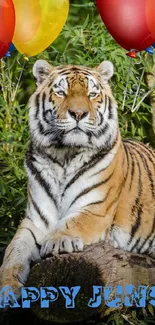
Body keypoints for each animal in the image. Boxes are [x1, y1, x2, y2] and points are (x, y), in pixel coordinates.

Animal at [0, 58, 154, 298]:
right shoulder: (35, 221)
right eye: (61, 92)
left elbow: (72, 222)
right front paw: (7, 289)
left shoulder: (96, 209)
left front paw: (55, 241)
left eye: (92, 94)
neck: (64, 155)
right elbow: (13, 253)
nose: (78, 113)